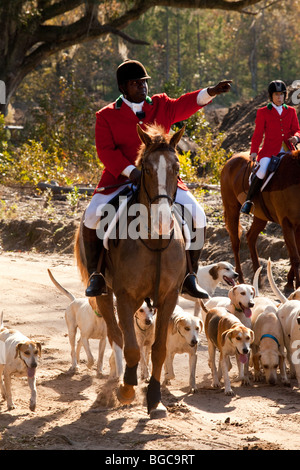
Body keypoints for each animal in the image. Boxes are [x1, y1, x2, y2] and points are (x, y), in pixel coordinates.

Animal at [74, 125, 186, 418]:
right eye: (145, 168)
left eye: (176, 168)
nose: (163, 221)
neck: (154, 241)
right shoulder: (124, 297)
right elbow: (132, 348)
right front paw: (126, 389)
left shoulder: (169, 298)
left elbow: (158, 350)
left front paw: (155, 399)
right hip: (104, 292)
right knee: (117, 337)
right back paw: (120, 379)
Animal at [219, 150, 300, 290]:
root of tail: (232, 159)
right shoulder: (287, 224)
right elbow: (295, 256)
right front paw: (295, 285)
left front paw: (290, 282)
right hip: (231, 208)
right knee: (235, 242)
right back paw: (240, 278)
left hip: (260, 216)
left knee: (251, 236)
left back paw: (258, 279)